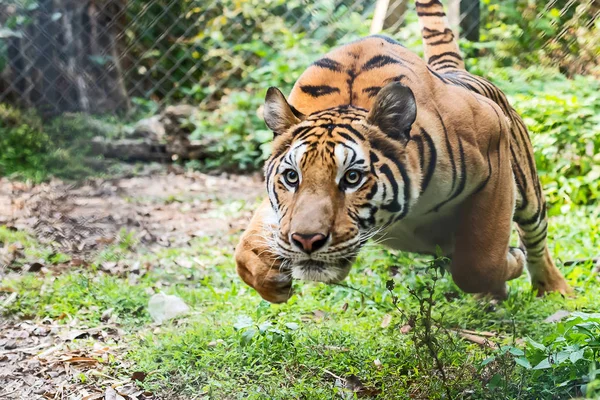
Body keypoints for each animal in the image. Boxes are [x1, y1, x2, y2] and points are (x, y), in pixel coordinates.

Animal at [232, 0, 568, 302]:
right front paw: (270, 275)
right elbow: (244, 252)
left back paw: (553, 289)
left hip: (529, 195)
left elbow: (479, 262)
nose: (306, 240)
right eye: (291, 177)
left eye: (352, 178)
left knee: (535, 240)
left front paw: (511, 261)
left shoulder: (493, 148)